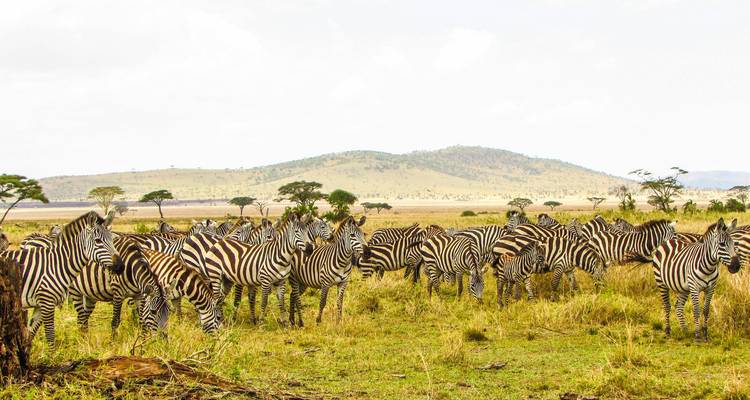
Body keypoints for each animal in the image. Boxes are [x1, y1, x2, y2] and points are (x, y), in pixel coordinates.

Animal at [1, 211, 123, 346]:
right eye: (98, 241)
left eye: (112, 239)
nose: (120, 266)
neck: (56, 264)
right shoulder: (47, 302)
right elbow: (50, 335)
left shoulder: (40, 304)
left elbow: (30, 334)